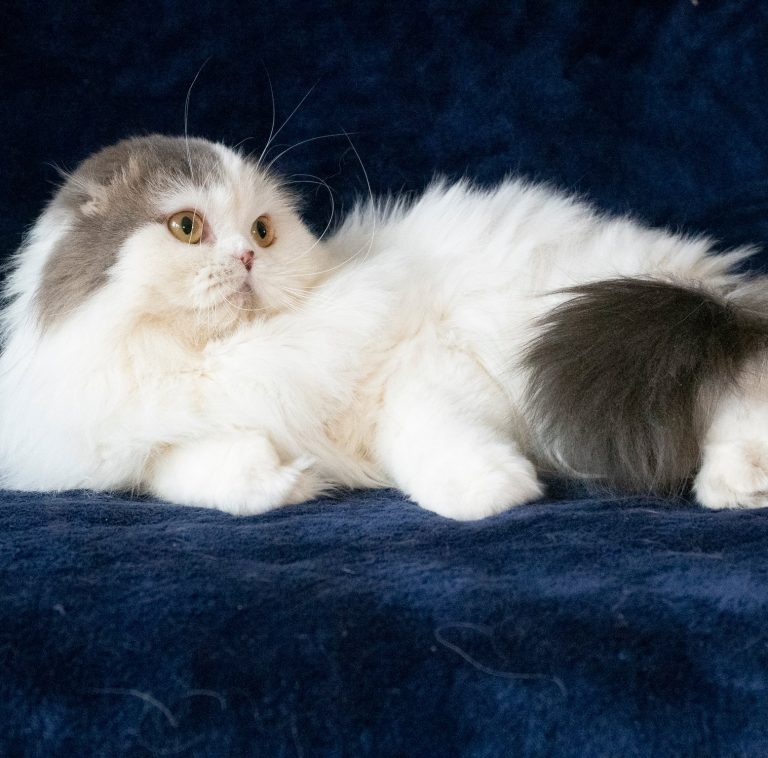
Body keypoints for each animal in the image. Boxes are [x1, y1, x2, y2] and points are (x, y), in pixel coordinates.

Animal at [1, 134, 768, 520]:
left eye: (262, 231)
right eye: (187, 227)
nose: (248, 257)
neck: (235, 354)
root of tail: (710, 283)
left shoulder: (425, 369)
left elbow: (429, 436)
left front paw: (493, 491)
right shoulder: (134, 437)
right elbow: (191, 469)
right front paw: (287, 480)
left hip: (582, 334)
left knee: (741, 395)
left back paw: (734, 487)